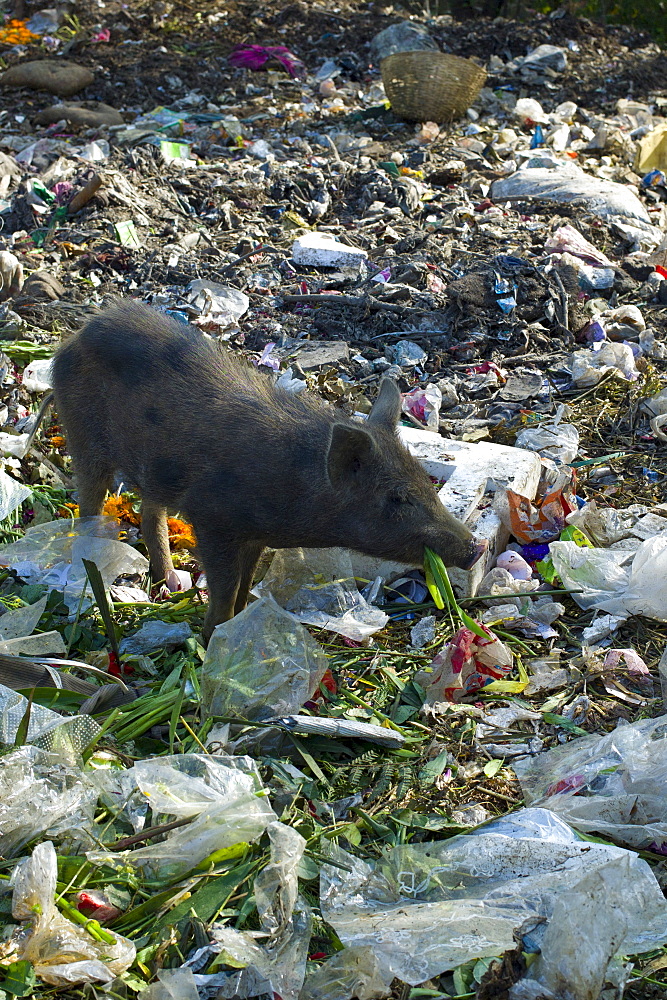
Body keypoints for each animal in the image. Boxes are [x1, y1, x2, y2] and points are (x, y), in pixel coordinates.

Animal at [51, 298, 486, 640]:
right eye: (398, 497)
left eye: (426, 482)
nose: (477, 547)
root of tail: (76, 334)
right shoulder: (213, 520)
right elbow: (225, 586)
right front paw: (211, 637)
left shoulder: (255, 536)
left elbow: (245, 585)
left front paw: (241, 624)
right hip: (83, 436)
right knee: (90, 503)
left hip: (152, 468)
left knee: (149, 514)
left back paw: (170, 585)